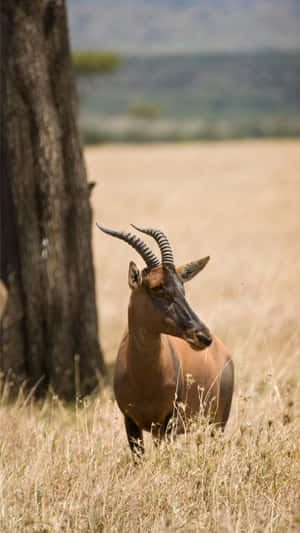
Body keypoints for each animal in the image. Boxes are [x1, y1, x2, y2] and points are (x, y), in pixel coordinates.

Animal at [97, 223, 233, 458]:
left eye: (182, 287)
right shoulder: (130, 422)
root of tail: (223, 351)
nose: (203, 336)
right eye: (157, 286)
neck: (143, 377)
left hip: (216, 423)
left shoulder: (168, 422)